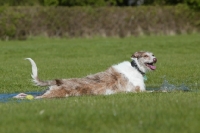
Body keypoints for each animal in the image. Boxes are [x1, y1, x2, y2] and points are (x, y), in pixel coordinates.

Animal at [14, 51, 157, 98]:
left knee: (26, 95)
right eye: (145, 55)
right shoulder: (139, 91)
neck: (136, 67)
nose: (156, 59)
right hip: (53, 95)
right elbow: (157, 91)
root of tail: (59, 81)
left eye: (152, 54)